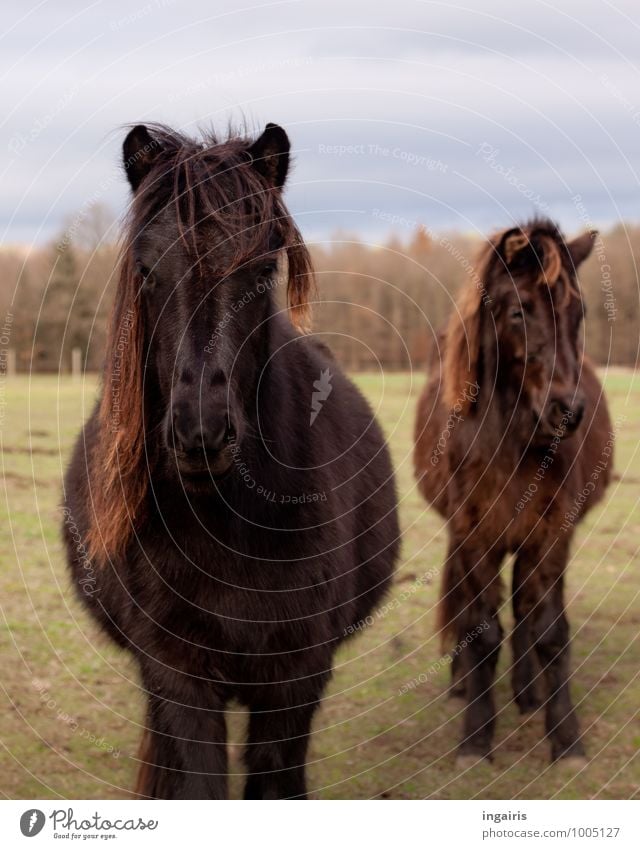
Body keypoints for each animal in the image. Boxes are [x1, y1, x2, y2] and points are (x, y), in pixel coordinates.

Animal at [412, 219, 612, 768]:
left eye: (579, 313)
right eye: (520, 311)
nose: (568, 412)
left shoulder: (549, 534)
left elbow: (547, 629)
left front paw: (565, 737)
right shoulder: (475, 535)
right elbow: (482, 630)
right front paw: (476, 737)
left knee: (528, 615)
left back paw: (528, 692)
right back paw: (464, 685)